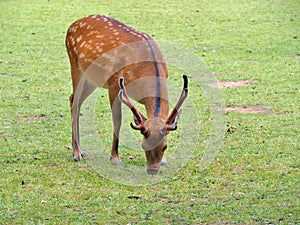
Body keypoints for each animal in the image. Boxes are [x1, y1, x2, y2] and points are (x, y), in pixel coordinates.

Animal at [65, 14, 188, 175]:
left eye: (165, 147)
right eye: (143, 145)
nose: (152, 170)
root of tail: (72, 25)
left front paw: (165, 160)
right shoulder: (114, 84)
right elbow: (117, 120)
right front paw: (115, 158)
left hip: (92, 79)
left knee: (74, 99)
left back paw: (81, 150)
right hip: (76, 66)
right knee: (74, 102)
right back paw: (76, 153)